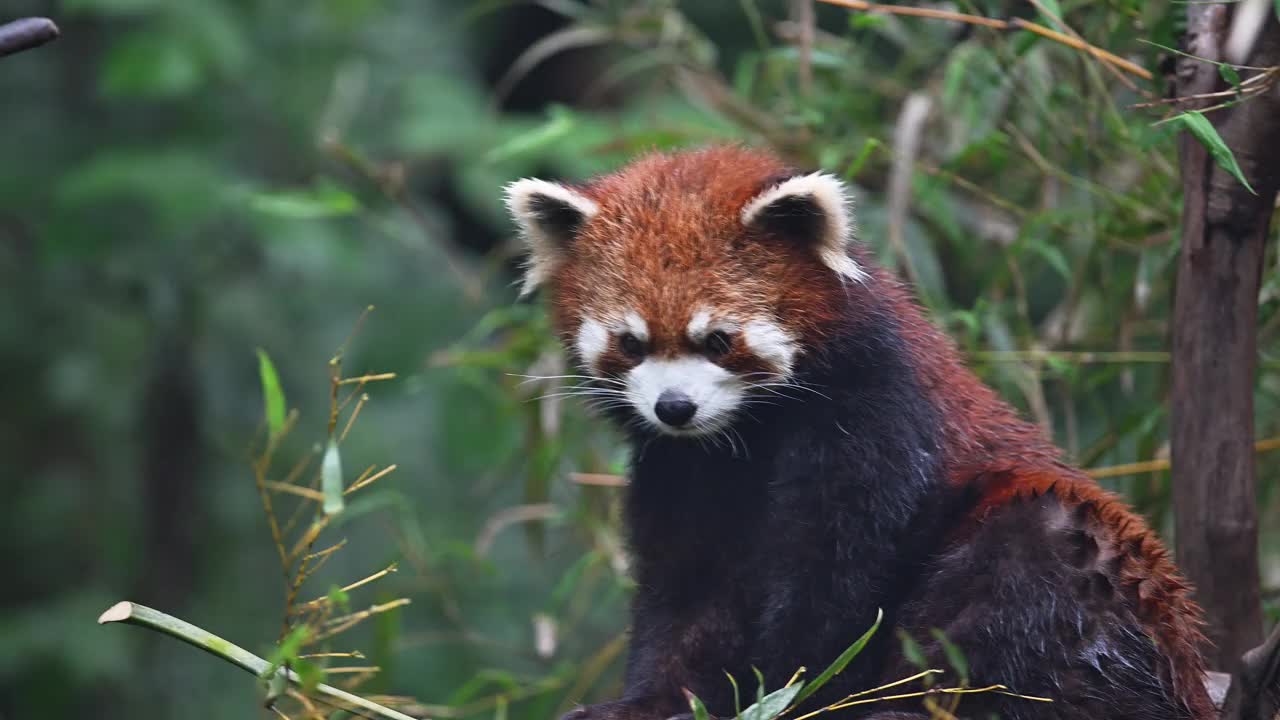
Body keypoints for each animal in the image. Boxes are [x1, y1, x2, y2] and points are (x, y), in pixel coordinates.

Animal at [504, 146, 1213, 717]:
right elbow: (687, 588)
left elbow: (834, 580)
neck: (748, 435)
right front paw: (649, 701)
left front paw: (792, 691)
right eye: (631, 342)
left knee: (1027, 572)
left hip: (1086, 567)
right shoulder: (683, 469)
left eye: (718, 340)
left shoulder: (876, 418)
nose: (674, 407)